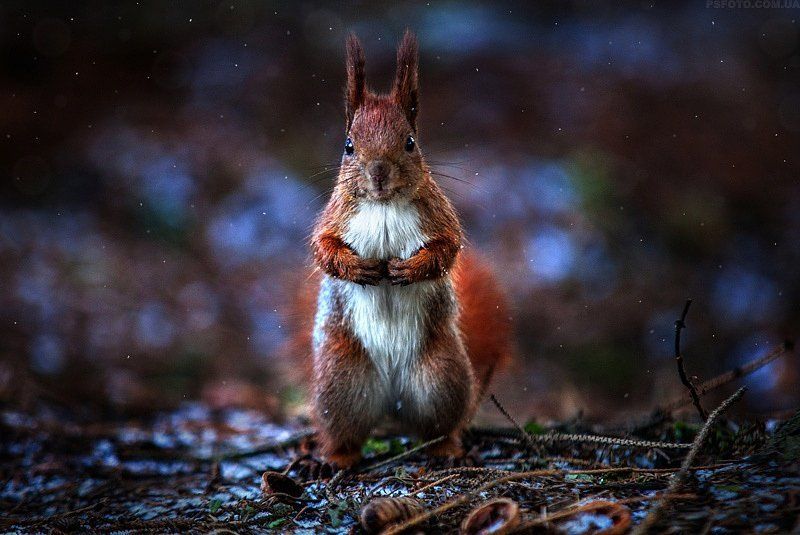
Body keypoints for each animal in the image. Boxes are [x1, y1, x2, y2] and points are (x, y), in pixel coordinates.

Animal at [306, 30, 512, 468]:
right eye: (348, 145)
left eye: (410, 142)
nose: (379, 173)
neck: (383, 204)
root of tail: (391, 400)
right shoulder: (335, 216)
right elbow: (324, 248)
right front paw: (358, 268)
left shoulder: (437, 215)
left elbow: (448, 248)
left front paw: (409, 269)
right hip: (340, 381)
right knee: (344, 430)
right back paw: (339, 458)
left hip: (441, 378)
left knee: (439, 425)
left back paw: (447, 448)